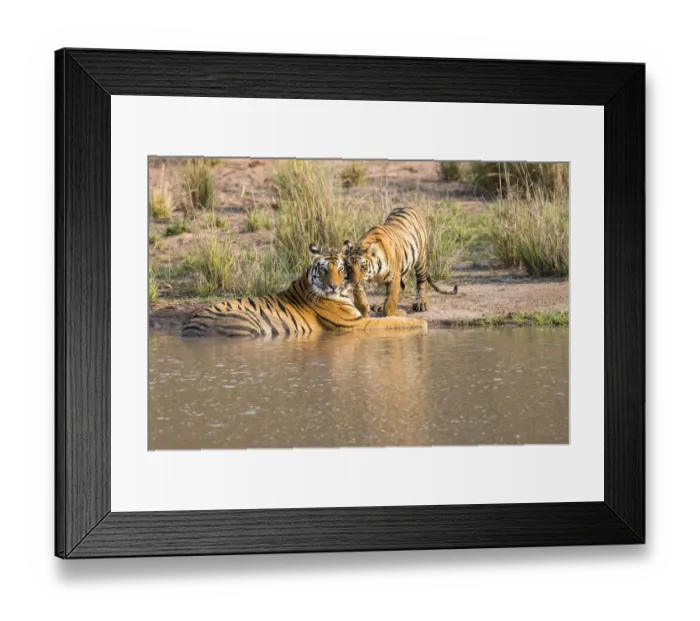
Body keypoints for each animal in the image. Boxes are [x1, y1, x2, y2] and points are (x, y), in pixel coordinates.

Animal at [180, 244, 428, 338]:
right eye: (324, 270)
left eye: (341, 270)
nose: (334, 285)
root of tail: (190, 326)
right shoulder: (354, 324)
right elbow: (390, 322)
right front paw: (421, 322)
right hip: (247, 325)